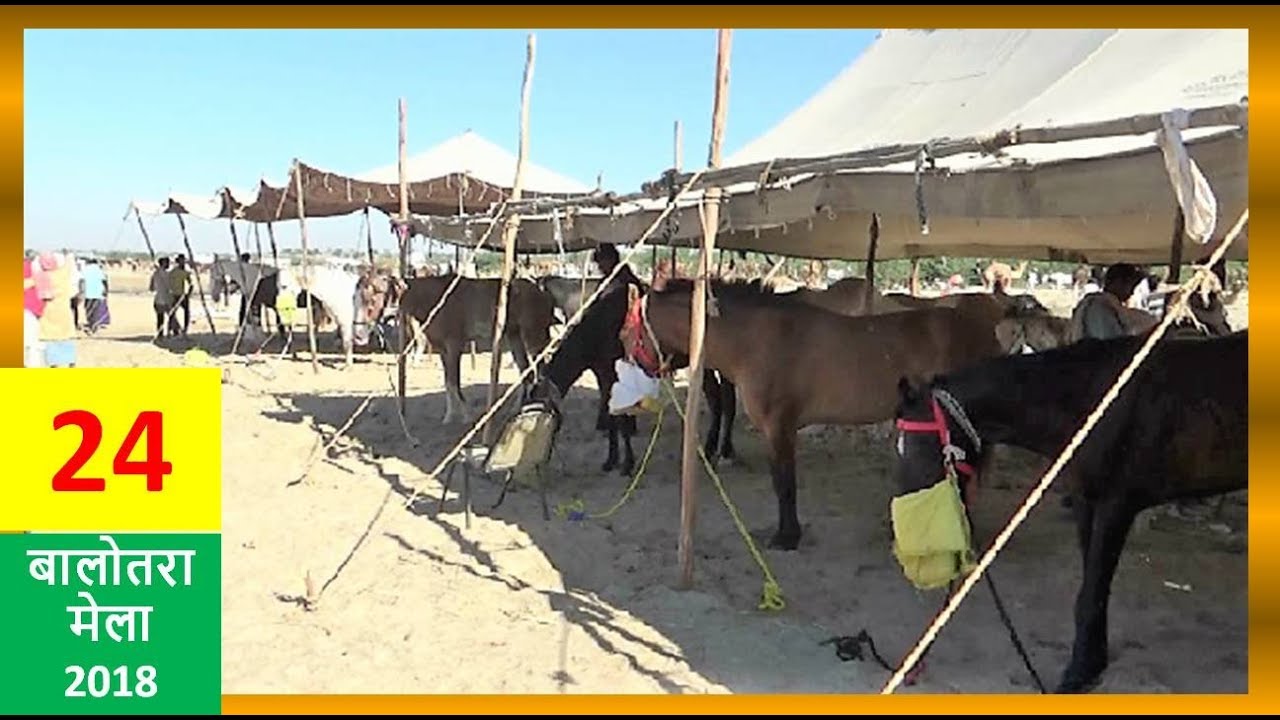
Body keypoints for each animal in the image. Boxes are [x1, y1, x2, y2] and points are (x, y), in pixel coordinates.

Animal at [394, 274, 561, 425]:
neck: (439, 299)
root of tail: (543, 292)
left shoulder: (454, 346)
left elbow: (455, 382)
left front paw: (467, 416)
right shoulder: (442, 350)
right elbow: (448, 383)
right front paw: (449, 416)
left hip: (533, 337)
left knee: (541, 367)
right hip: (515, 337)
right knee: (525, 371)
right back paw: (516, 409)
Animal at [626, 276, 1006, 550]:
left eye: (628, 330)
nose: (633, 367)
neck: (755, 339)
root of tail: (982, 331)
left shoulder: (779, 427)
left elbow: (784, 484)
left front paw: (786, 537)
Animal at [891, 330, 1247, 693]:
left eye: (921, 448)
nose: (909, 547)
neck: (1093, 400)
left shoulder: (1116, 505)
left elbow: (1092, 594)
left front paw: (1078, 673)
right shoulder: (1086, 503)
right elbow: (1093, 590)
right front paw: (1092, 664)